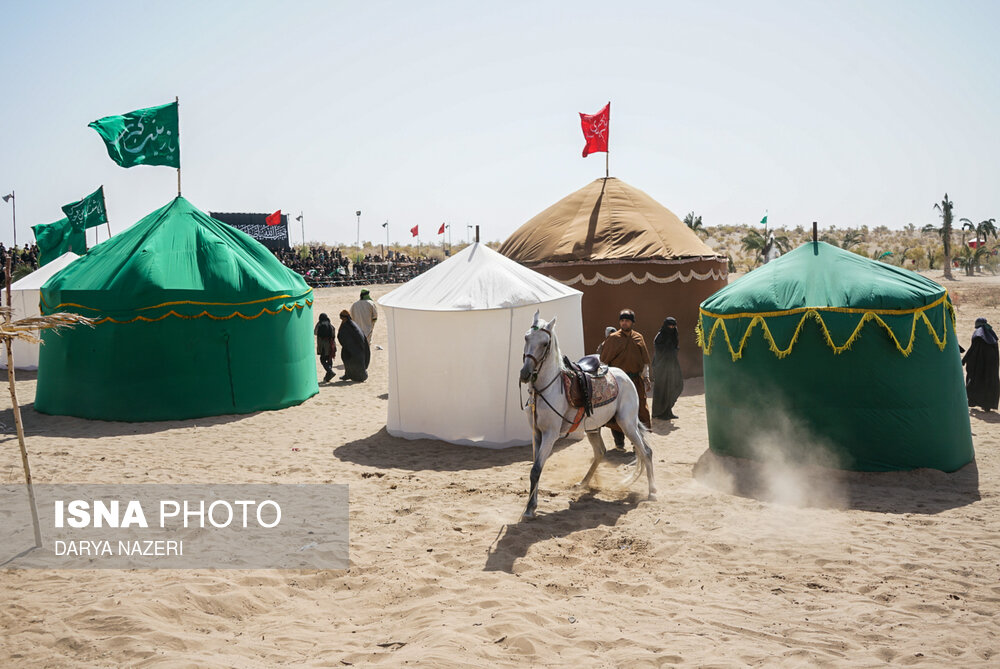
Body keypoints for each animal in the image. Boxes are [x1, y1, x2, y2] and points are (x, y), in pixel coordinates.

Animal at [520, 310, 652, 520]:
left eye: (545, 343)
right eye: (526, 337)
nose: (525, 373)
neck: (546, 388)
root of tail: (623, 374)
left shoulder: (550, 434)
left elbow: (536, 469)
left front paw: (529, 509)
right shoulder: (537, 433)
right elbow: (535, 469)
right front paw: (531, 506)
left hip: (627, 423)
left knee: (646, 451)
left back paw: (652, 492)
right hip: (593, 427)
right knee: (600, 452)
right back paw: (582, 483)